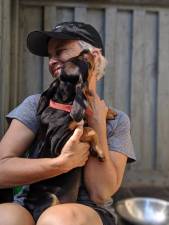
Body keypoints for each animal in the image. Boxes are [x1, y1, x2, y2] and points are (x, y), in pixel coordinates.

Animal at [25, 49, 117, 220]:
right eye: (84, 60)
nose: (86, 50)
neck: (64, 106)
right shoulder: (59, 144)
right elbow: (89, 129)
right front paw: (99, 151)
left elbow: (88, 121)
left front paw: (110, 112)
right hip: (50, 197)